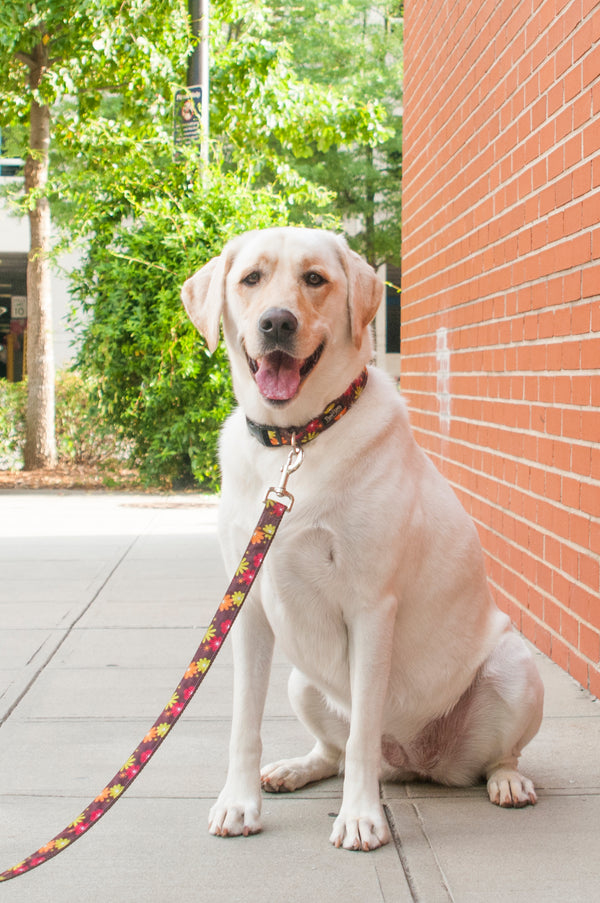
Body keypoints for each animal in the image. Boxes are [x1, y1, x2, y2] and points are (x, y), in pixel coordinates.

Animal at [179, 228, 544, 856]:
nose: (276, 322)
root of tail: (419, 760)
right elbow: (245, 723)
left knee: (489, 756)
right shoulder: (247, 609)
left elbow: (363, 736)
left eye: (315, 279)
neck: (295, 442)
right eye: (251, 278)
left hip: (517, 669)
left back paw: (507, 781)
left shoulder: (372, 609)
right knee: (334, 752)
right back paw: (295, 769)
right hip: (302, 683)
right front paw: (239, 803)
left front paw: (360, 819)